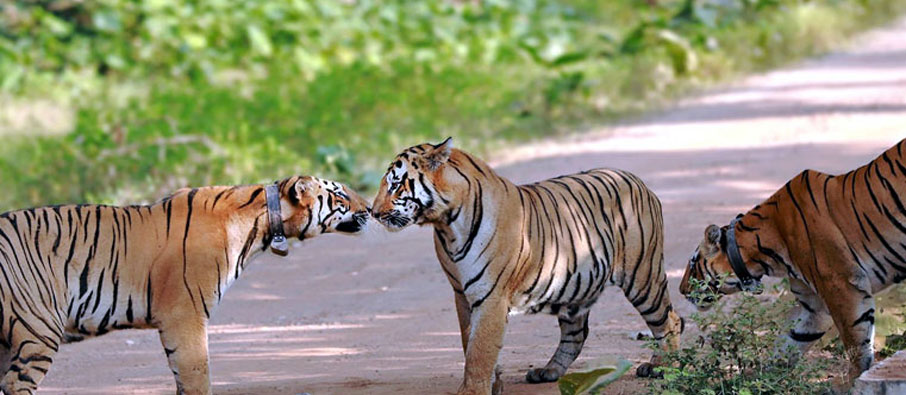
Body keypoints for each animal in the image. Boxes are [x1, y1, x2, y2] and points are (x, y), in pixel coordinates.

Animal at [0, 177, 370, 395]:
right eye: (339, 194)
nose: (368, 207)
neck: (265, 222)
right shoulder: (185, 315)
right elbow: (196, 374)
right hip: (39, 330)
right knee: (17, 385)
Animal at [370, 138, 680, 394]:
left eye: (395, 184)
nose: (373, 212)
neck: (446, 225)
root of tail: (636, 179)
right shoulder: (461, 293)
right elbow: (470, 342)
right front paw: (493, 385)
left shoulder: (491, 294)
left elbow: (479, 350)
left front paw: (473, 391)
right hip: (576, 286)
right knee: (576, 334)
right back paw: (549, 371)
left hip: (642, 276)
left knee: (669, 319)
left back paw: (663, 366)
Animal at [680, 138, 904, 384]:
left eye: (693, 263)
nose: (680, 291)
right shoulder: (813, 306)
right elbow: (789, 341)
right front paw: (757, 380)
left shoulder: (842, 285)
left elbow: (856, 343)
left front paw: (852, 381)